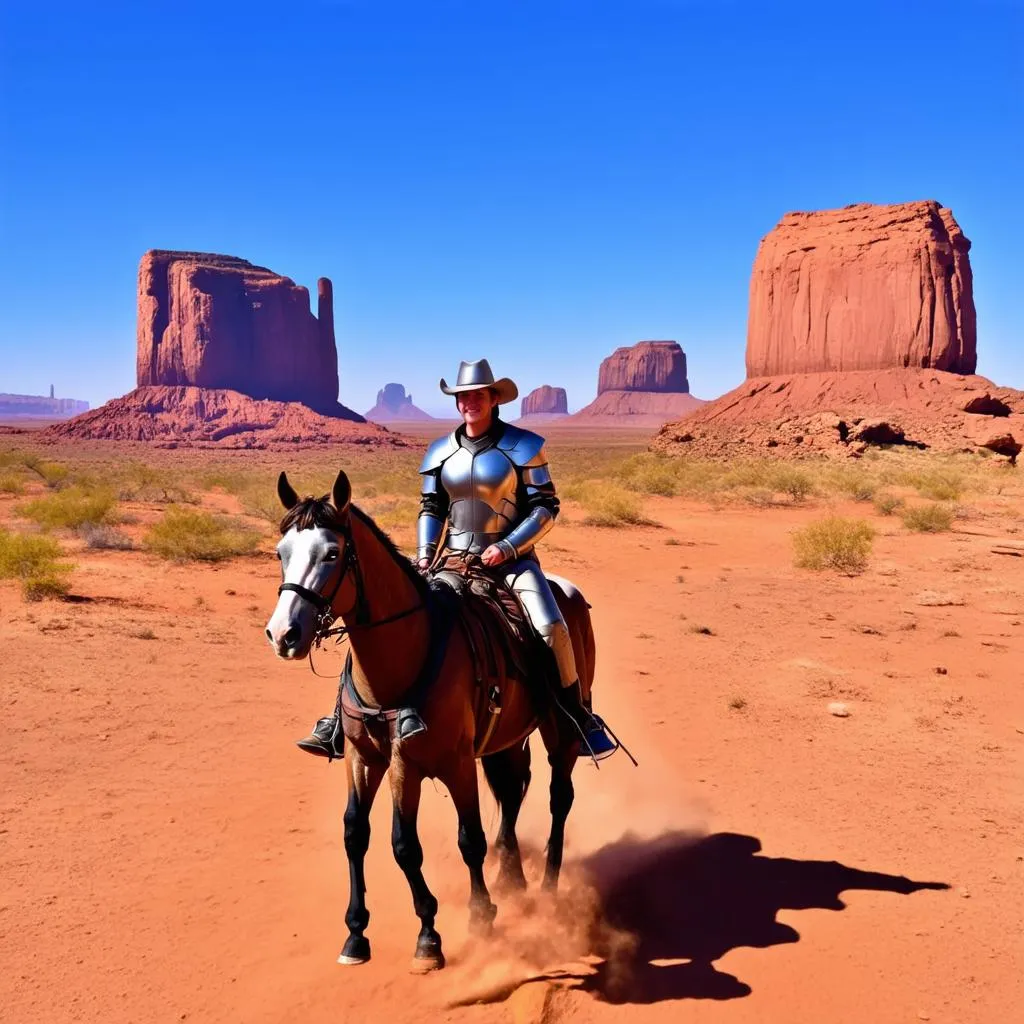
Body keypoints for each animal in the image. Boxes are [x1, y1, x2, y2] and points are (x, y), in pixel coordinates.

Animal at [264, 468, 598, 966]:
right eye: (281, 553)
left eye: (332, 553)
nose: (284, 634)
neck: (401, 657)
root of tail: (568, 593)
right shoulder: (363, 758)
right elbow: (358, 834)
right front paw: (356, 933)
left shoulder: (438, 763)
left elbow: (442, 840)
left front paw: (454, 926)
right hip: (506, 738)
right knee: (513, 790)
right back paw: (511, 877)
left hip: (561, 731)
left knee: (559, 796)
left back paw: (547, 885)